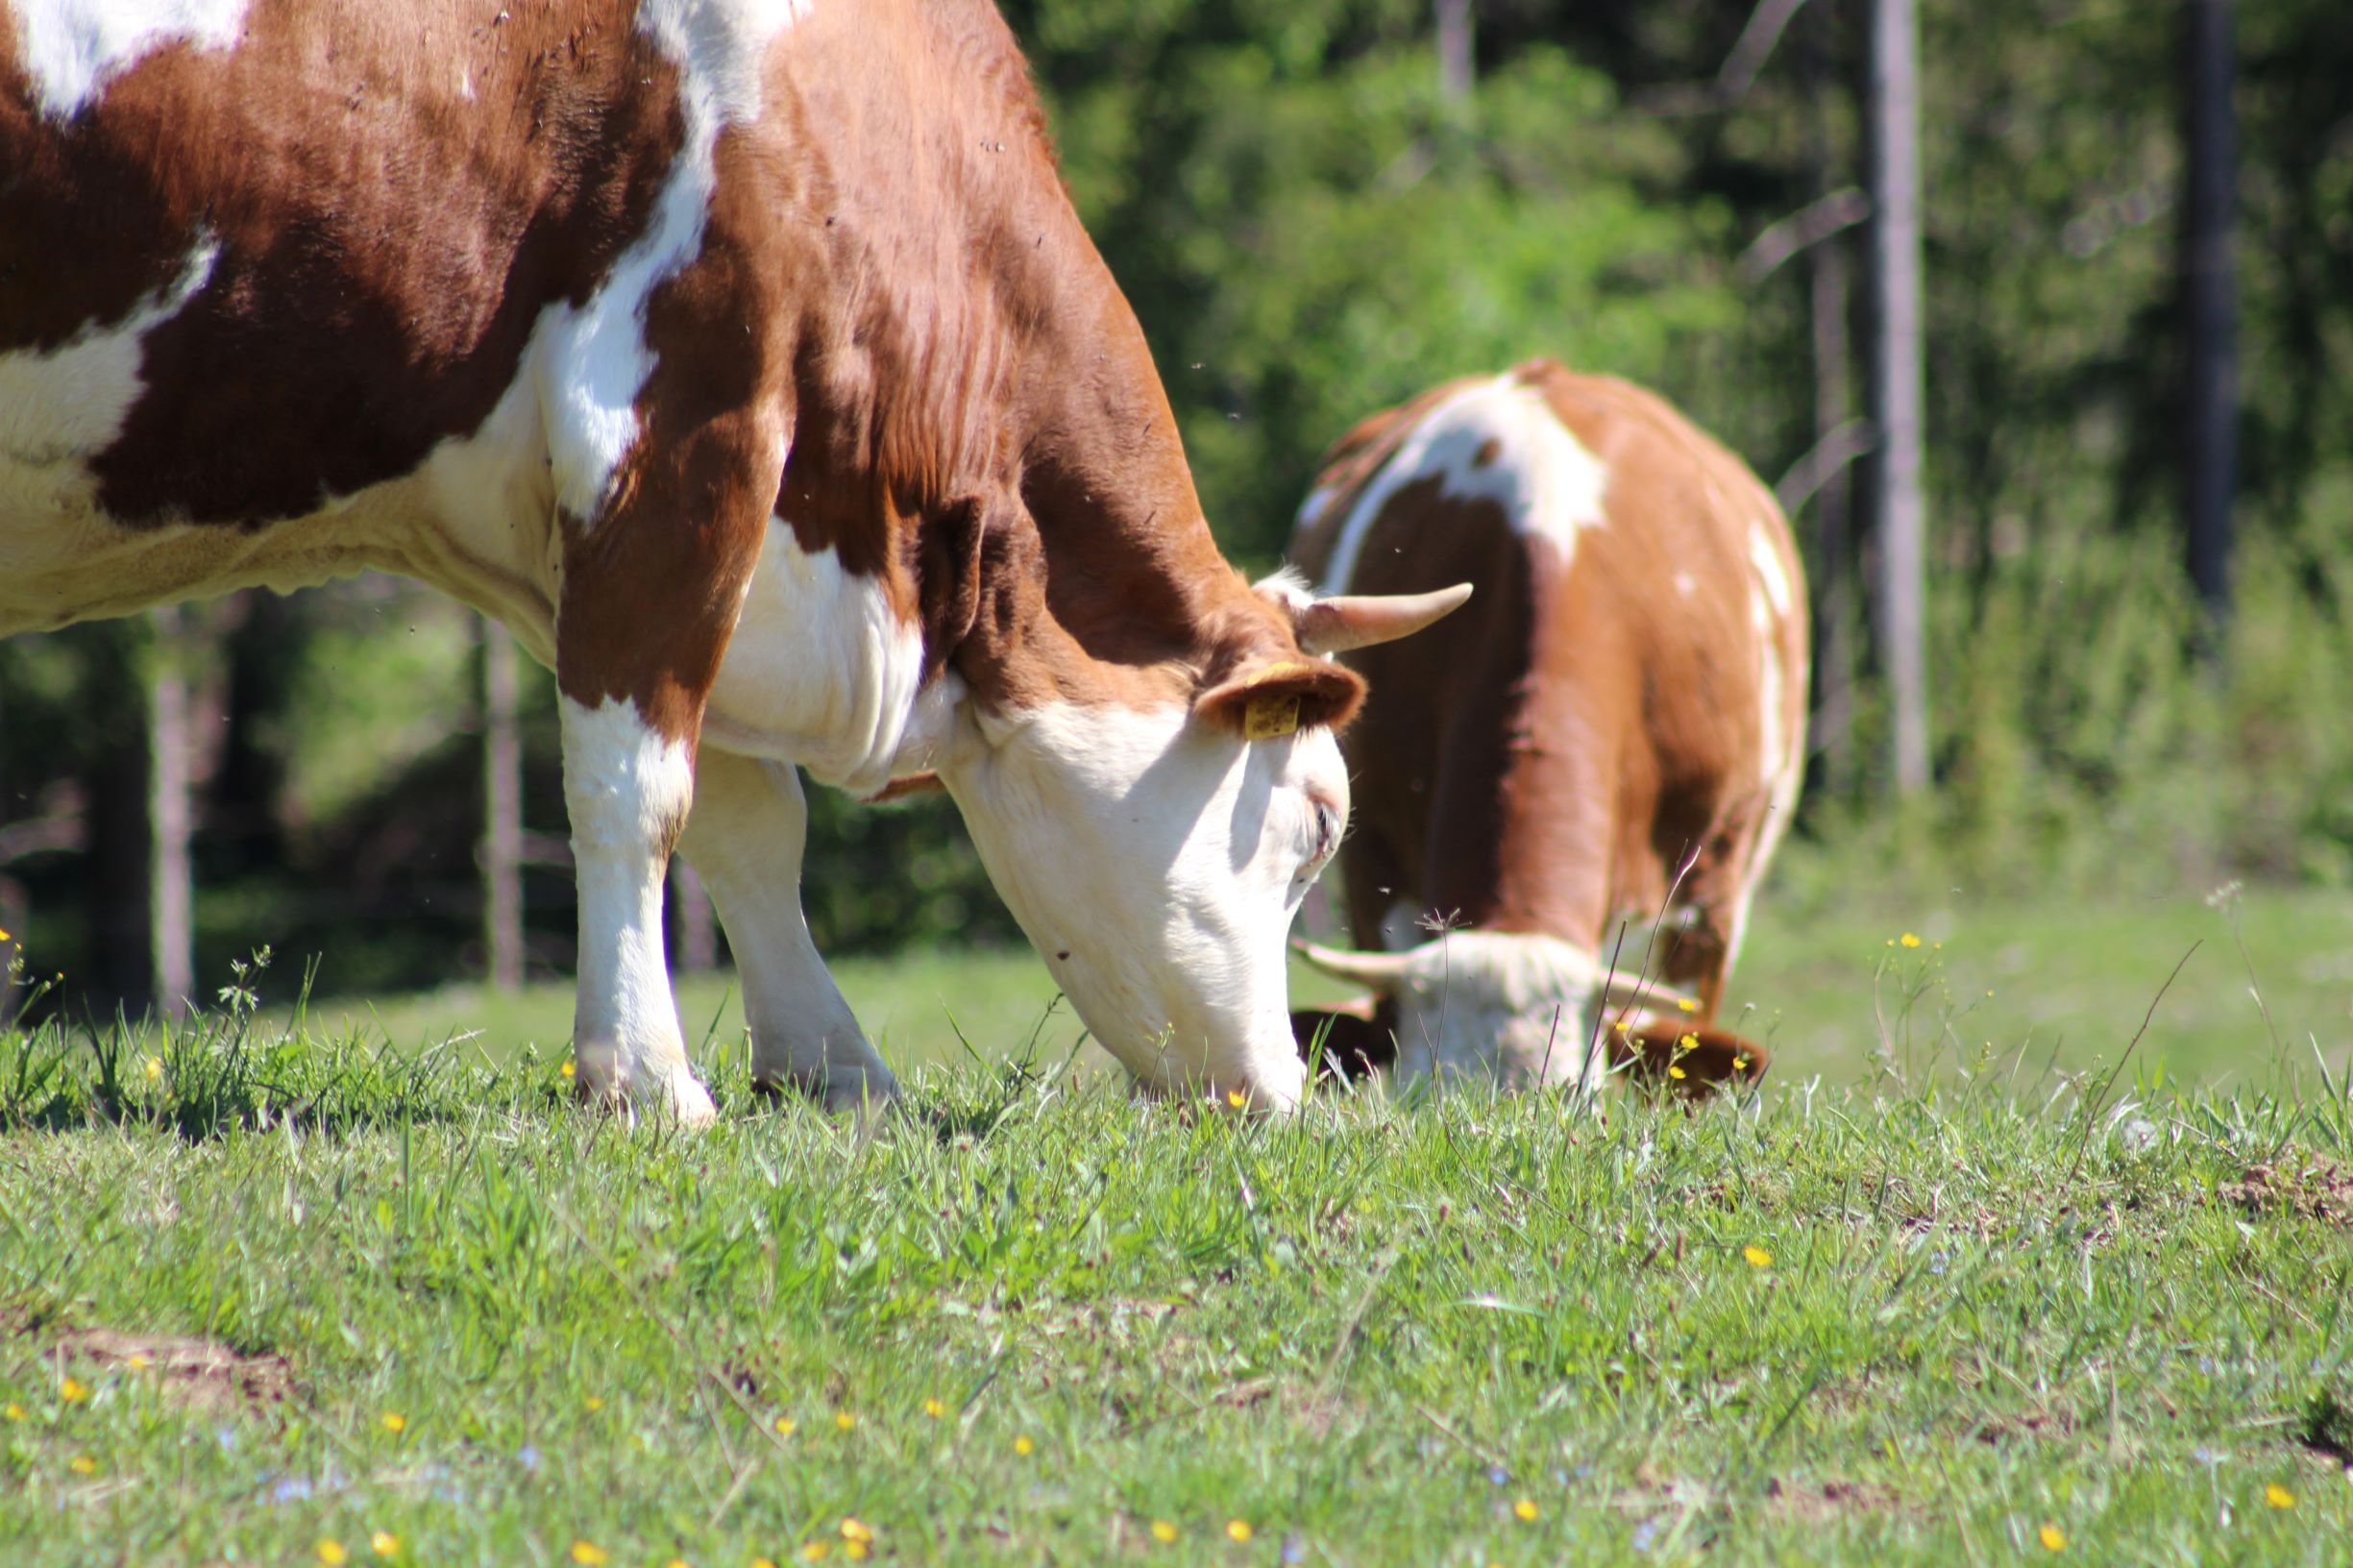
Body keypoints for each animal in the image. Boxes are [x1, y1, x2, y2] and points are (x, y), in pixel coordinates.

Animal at [4, 6, 1468, 1115]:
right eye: (1316, 819)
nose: (1281, 1098)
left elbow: (746, 821)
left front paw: (832, 1067)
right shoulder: (679, 436)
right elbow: (637, 789)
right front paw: (646, 1081)